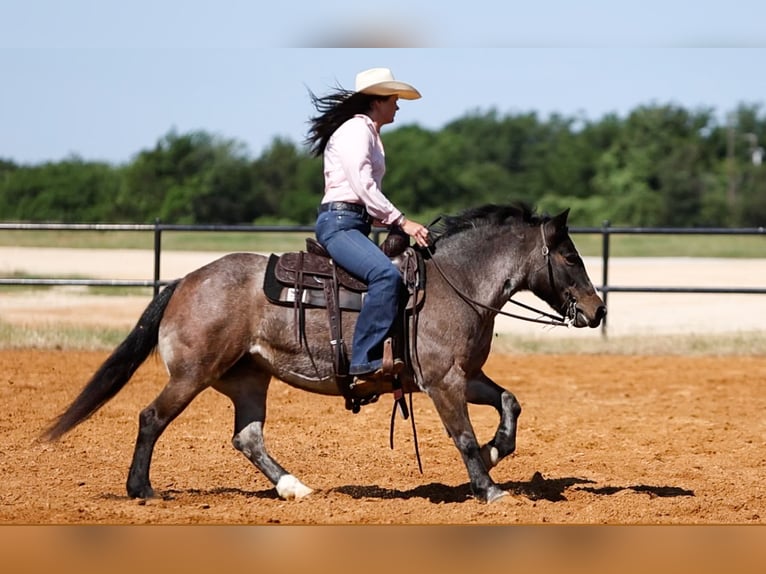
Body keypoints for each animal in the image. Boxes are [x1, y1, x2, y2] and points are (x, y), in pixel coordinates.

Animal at [42, 202, 608, 504]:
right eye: (569, 256)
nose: (598, 309)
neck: (456, 284)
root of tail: (185, 280)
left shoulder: (462, 375)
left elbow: (510, 404)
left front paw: (495, 454)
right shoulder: (443, 382)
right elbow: (464, 437)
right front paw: (489, 488)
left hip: (249, 378)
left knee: (247, 437)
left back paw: (294, 488)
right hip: (192, 374)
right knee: (151, 417)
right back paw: (142, 489)